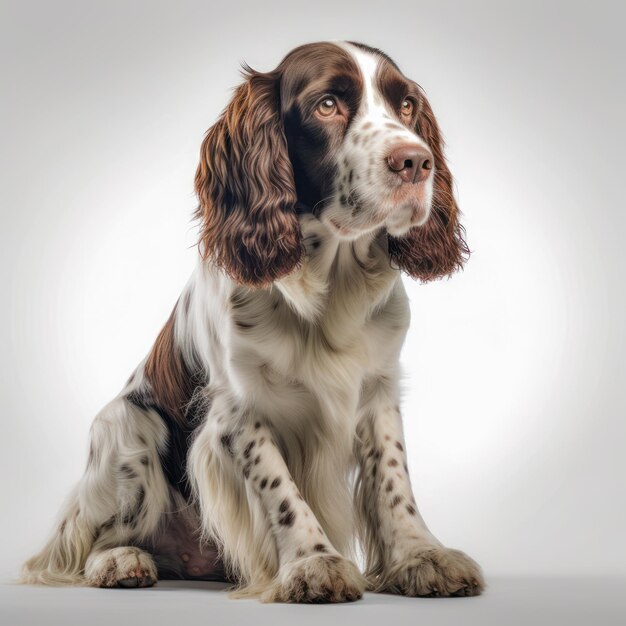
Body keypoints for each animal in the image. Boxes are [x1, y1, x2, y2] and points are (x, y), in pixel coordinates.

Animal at [22, 39, 482, 600]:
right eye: (327, 104)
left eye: (408, 105)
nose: (415, 161)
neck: (331, 279)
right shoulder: (238, 409)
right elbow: (280, 490)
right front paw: (313, 562)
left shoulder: (378, 391)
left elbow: (393, 481)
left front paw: (421, 556)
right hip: (128, 430)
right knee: (91, 539)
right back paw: (120, 561)